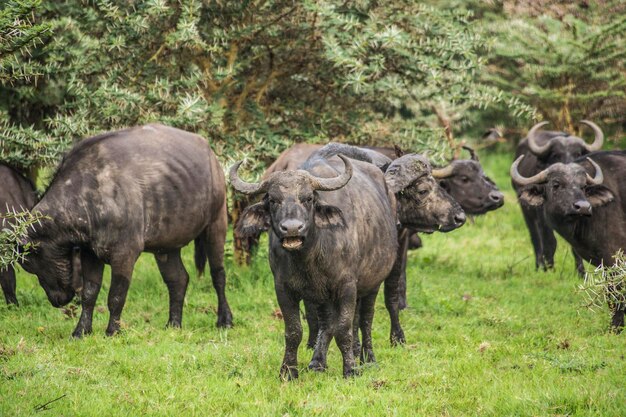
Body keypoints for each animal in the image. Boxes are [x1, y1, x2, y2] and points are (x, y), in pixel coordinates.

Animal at [22, 122, 233, 334]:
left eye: (33, 266)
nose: (57, 301)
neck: (89, 195)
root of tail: (210, 154)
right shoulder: (89, 254)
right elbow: (89, 294)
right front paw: (81, 330)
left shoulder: (125, 255)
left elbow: (116, 295)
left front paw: (112, 331)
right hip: (166, 247)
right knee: (178, 279)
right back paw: (173, 324)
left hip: (216, 225)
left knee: (218, 275)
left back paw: (225, 320)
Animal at [230, 145, 464, 376]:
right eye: (273, 200)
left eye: (309, 198)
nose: (292, 228)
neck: (310, 255)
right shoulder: (284, 288)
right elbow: (295, 330)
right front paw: (289, 371)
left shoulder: (348, 286)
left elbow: (345, 327)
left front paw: (350, 368)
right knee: (328, 321)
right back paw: (319, 362)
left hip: (374, 280)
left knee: (367, 317)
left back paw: (369, 357)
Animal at [510, 120, 604, 272]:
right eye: (555, 155)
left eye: (577, 153)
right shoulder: (542, 216)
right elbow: (549, 241)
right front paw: (549, 269)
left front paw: (581, 271)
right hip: (527, 212)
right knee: (535, 238)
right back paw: (539, 265)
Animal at [512, 151, 624, 330]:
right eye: (556, 184)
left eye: (583, 186)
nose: (583, 207)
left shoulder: (614, 258)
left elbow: (616, 294)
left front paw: (615, 328)